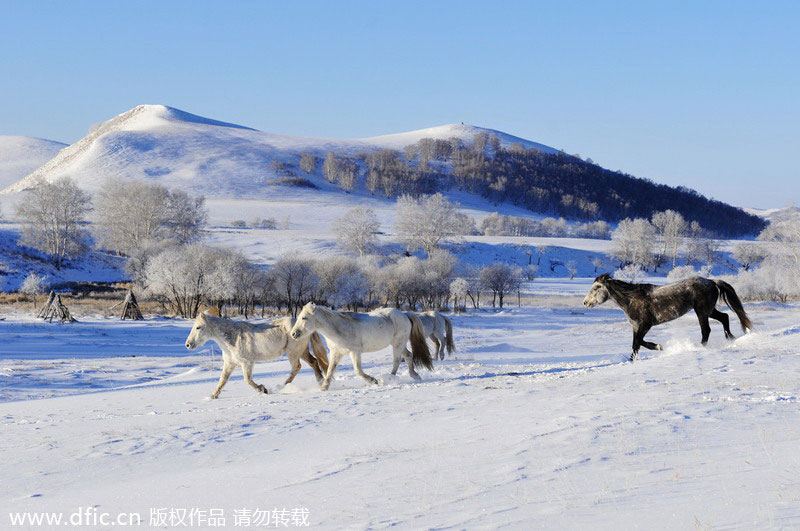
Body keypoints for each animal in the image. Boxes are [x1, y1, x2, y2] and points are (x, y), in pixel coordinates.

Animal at [184, 312, 328, 400]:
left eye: (198, 327)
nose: (188, 345)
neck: (233, 337)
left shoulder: (247, 363)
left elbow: (247, 380)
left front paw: (263, 389)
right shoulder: (230, 363)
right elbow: (222, 380)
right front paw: (213, 396)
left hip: (293, 353)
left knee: (297, 367)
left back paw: (281, 386)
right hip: (301, 351)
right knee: (314, 362)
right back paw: (320, 381)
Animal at [290, 304, 434, 390]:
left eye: (304, 318)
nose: (293, 334)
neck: (338, 329)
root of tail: (405, 314)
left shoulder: (355, 352)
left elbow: (358, 371)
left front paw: (373, 381)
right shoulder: (336, 353)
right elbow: (330, 371)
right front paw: (324, 387)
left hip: (398, 344)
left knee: (397, 360)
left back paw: (389, 379)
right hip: (399, 344)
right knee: (408, 355)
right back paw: (415, 375)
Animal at [580, 274, 752, 362]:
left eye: (597, 287)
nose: (585, 303)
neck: (632, 299)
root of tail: (712, 281)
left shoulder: (645, 325)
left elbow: (637, 343)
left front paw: (656, 348)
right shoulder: (636, 326)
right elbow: (637, 343)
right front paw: (640, 355)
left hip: (702, 311)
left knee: (706, 330)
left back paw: (699, 347)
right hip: (709, 310)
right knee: (724, 317)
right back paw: (730, 338)